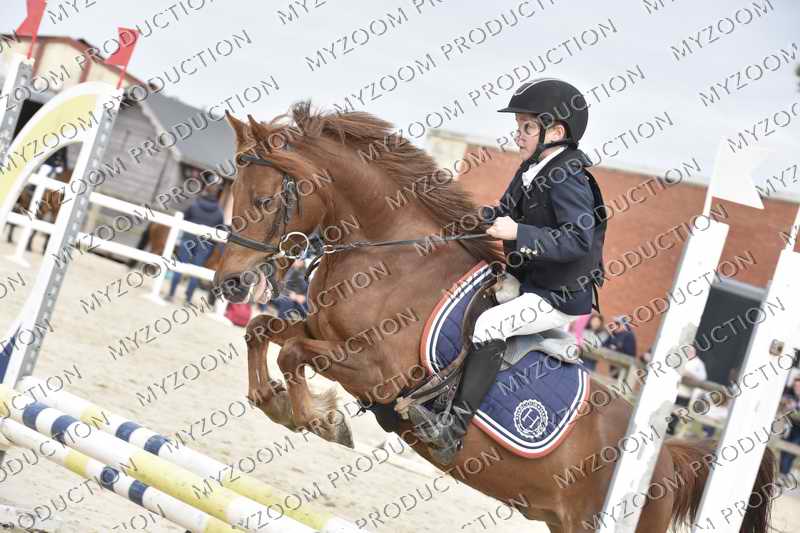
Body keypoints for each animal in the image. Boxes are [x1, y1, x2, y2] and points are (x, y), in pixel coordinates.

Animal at [212, 103, 775, 533]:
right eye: (234, 191)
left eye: (266, 199)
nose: (230, 283)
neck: (391, 257)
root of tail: (667, 460)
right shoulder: (321, 330)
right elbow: (263, 332)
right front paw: (277, 404)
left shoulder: (377, 374)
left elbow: (292, 353)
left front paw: (321, 420)